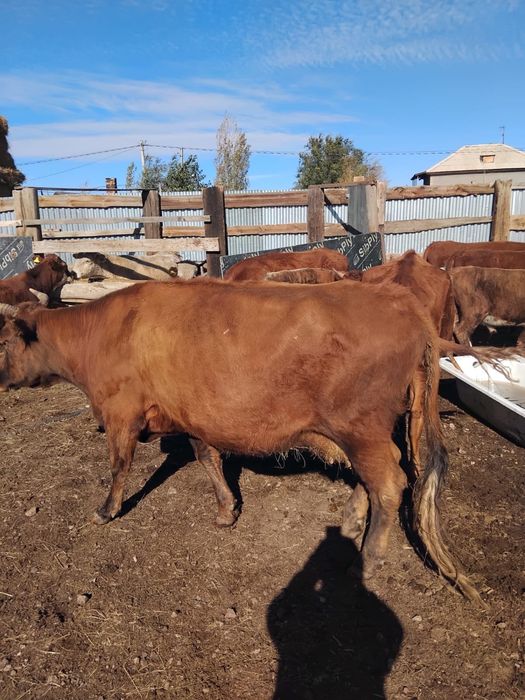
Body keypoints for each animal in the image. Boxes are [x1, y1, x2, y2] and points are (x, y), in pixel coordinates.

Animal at [0, 278, 482, 602]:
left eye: (4, 342)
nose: (2, 379)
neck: (101, 332)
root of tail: (401, 302)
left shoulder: (121, 414)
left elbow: (119, 466)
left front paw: (106, 510)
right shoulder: (195, 416)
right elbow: (207, 458)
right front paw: (226, 510)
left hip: (361, 428)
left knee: (388, 482)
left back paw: (365, 560)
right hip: (362, 433)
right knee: (376, 477)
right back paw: (349, 523)